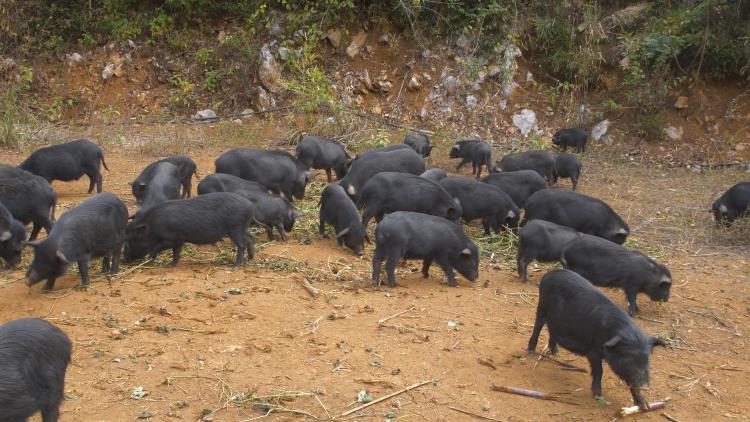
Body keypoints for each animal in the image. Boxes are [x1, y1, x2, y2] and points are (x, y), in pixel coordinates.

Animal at [125, 192, 258, 268]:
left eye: (131, 241)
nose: (123, 260)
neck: (152, 225)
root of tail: (251, 205)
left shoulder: (174, 238)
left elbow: (159, 247)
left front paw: (151, 260)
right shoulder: (179, 240)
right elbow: (176, 252)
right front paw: (172, 264)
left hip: (235, 228)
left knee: (242, 245)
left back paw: (235, 266)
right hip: (241, 228)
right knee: (250, 239)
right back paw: (250, 258)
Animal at [528, 270, 664, 408]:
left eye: (647, 359)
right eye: (628, 357)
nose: (645, 386)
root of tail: (551, 273)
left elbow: (630, 382)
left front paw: (644, 405)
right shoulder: (593, 351)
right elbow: (599, 372)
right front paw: (598, 396)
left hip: (555, 321)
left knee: (552, 332)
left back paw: (555, 353)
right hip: (541, 307)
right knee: (538, 326)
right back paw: (531, 351)